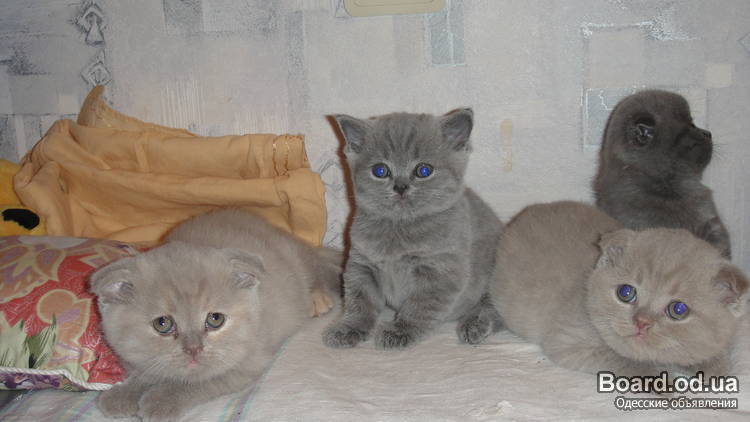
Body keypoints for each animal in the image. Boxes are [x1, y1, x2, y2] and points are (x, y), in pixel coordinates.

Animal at [90, 209, 341, 421]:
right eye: (162, 323)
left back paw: (317, 297)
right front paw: (124, 393)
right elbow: (148, 370)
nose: (194, 349)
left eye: (215, 319)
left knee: (317, 265)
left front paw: (160, 400)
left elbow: (204, 381)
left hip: (296, 257)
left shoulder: (248, 363)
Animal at [323, 108, 504, 349]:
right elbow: (360, 302)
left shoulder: (440, 272)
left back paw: (475, 324)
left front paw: (401, 330)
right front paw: (350, 327)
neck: (399, 227)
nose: (400, 186)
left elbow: (420, 306)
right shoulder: (362, 265)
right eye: (380, 170)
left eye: (423, 170)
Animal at [491, 201, 748, 377]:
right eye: (626, 293)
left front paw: (715, 368)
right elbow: (626, 361)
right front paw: (662, 382)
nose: (641, 322)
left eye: (678, 309)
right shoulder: (568, 343)